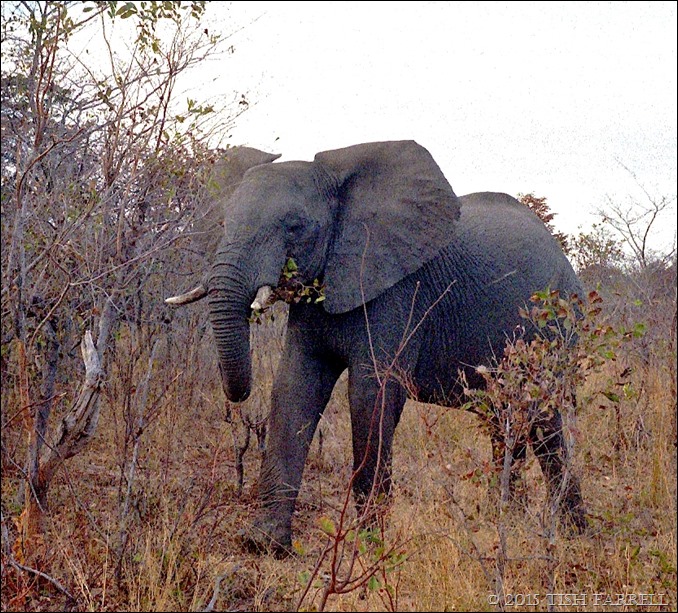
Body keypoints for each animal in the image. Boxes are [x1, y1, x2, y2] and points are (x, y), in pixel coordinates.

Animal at [167, 140, 587, 553]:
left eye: (295, 227)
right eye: (223, 224)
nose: (237, 397)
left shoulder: (398, 292)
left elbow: (372, 394)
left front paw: (370, 546)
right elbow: (295, 386)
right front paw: (262, 542)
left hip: (554, 330)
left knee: (544, 422)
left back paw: (572, 536)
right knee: (506, 419)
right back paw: (504, 519)